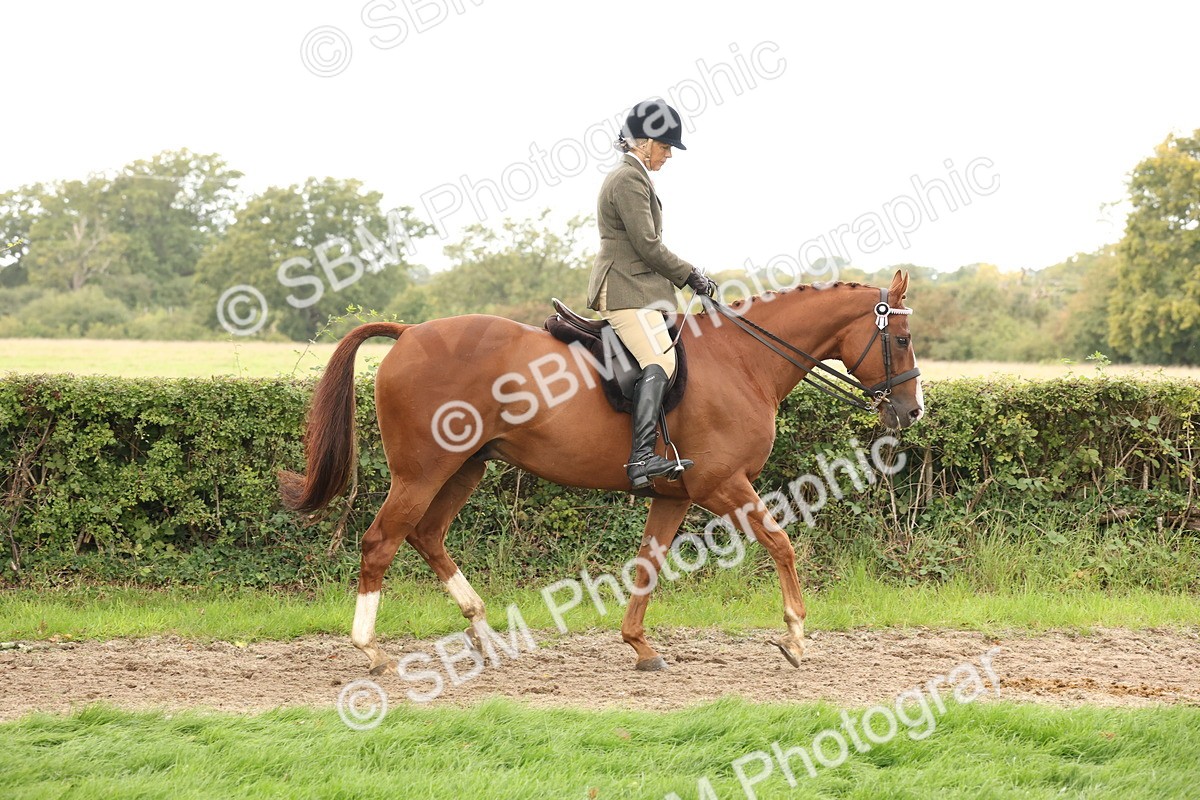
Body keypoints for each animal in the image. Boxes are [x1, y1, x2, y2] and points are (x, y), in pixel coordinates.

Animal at [279, 270, 923, 674]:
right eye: (904, 339)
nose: (912, 410)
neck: (743, 361)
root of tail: (410, 333)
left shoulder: (676, 493)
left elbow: (648, 563)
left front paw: (639, 645)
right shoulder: (722, 485)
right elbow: (781, 543)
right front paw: (794, 636)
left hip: (465, 469)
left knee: (427, 536)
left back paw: (484, 633)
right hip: (421, 473)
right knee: (380, 543)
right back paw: (370, 650)